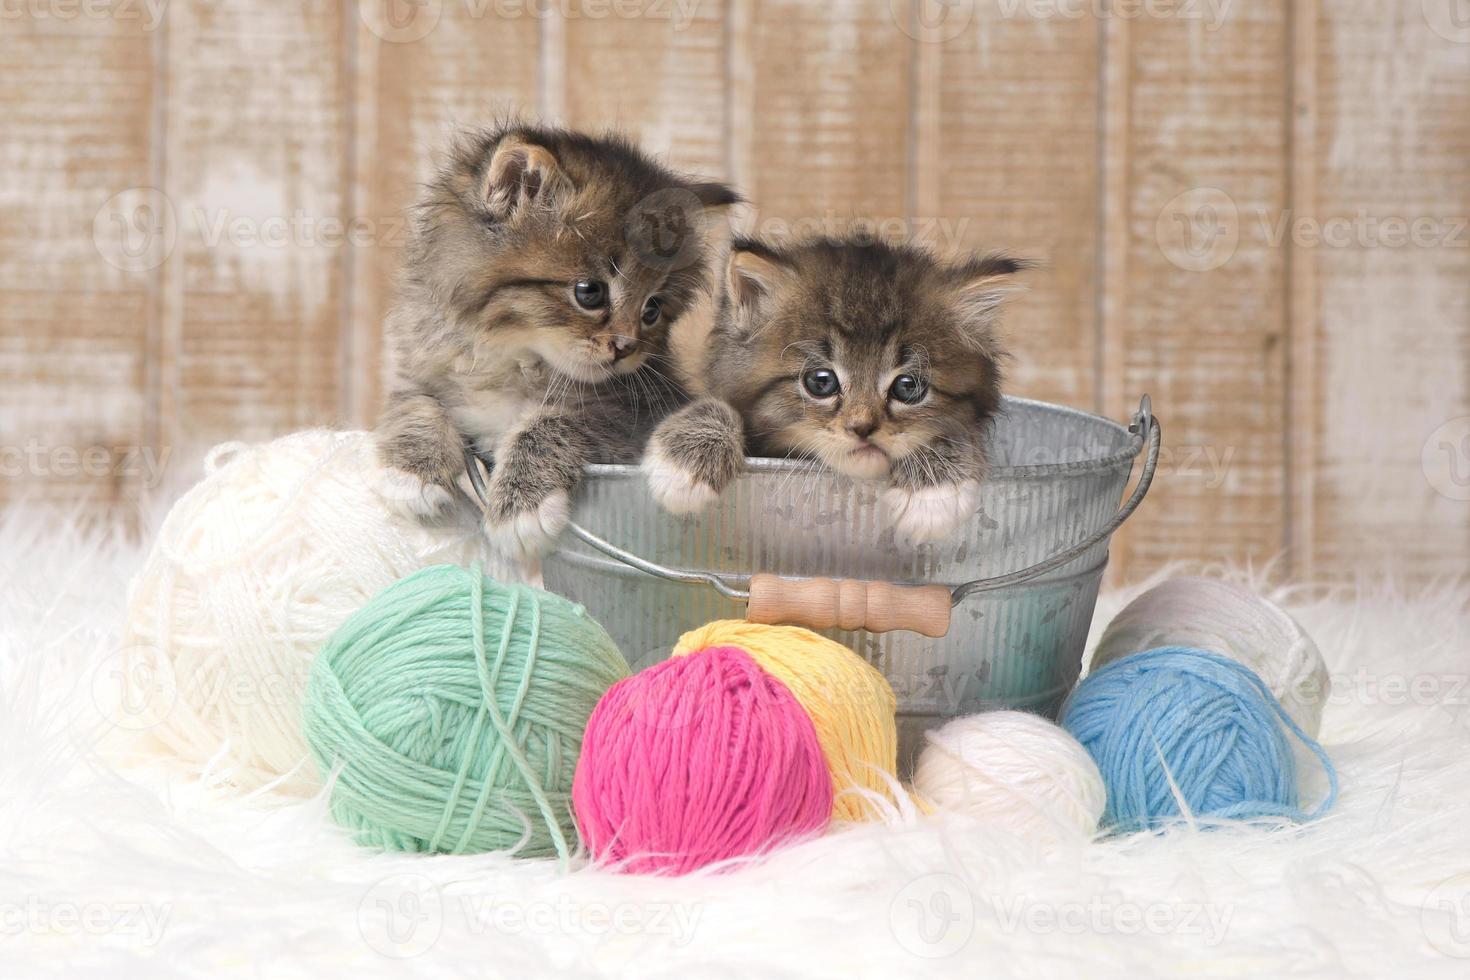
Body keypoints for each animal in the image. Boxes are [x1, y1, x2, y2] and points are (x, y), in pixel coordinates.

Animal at [373, 120, 740, 558]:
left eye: (652, 309)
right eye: (589, 292)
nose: (626, 347)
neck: (511, 358)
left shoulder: (633, 415)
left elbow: (548, 422)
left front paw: (520, 510)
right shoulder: (424, 363)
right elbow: (415, 403)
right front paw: (411, 475)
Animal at [649, 235, 1029, 549]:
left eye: (908, 387)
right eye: (821, 382)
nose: (862, 428)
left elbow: (952, 430)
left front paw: (933, 493)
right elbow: (716, 405)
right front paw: (683, 464)